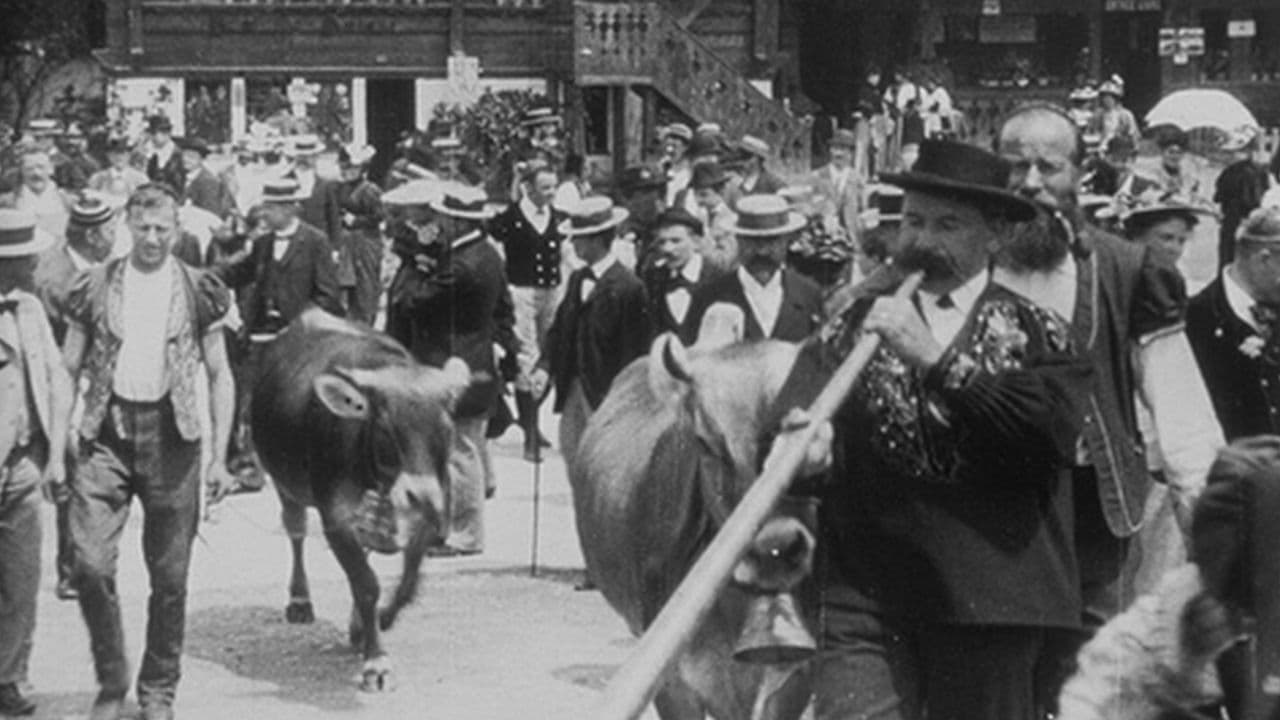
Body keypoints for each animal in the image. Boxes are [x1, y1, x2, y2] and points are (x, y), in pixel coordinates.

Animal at [250, 308, 481, 691]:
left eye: (447, 429)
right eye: (386, 429)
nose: (421, 497)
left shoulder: (429, 512)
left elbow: (407, 580)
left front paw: (375, 622)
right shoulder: (335, 517)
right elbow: (365, 582)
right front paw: (376, 660)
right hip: (286, 484)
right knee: (296, 530)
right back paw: (300, 599)